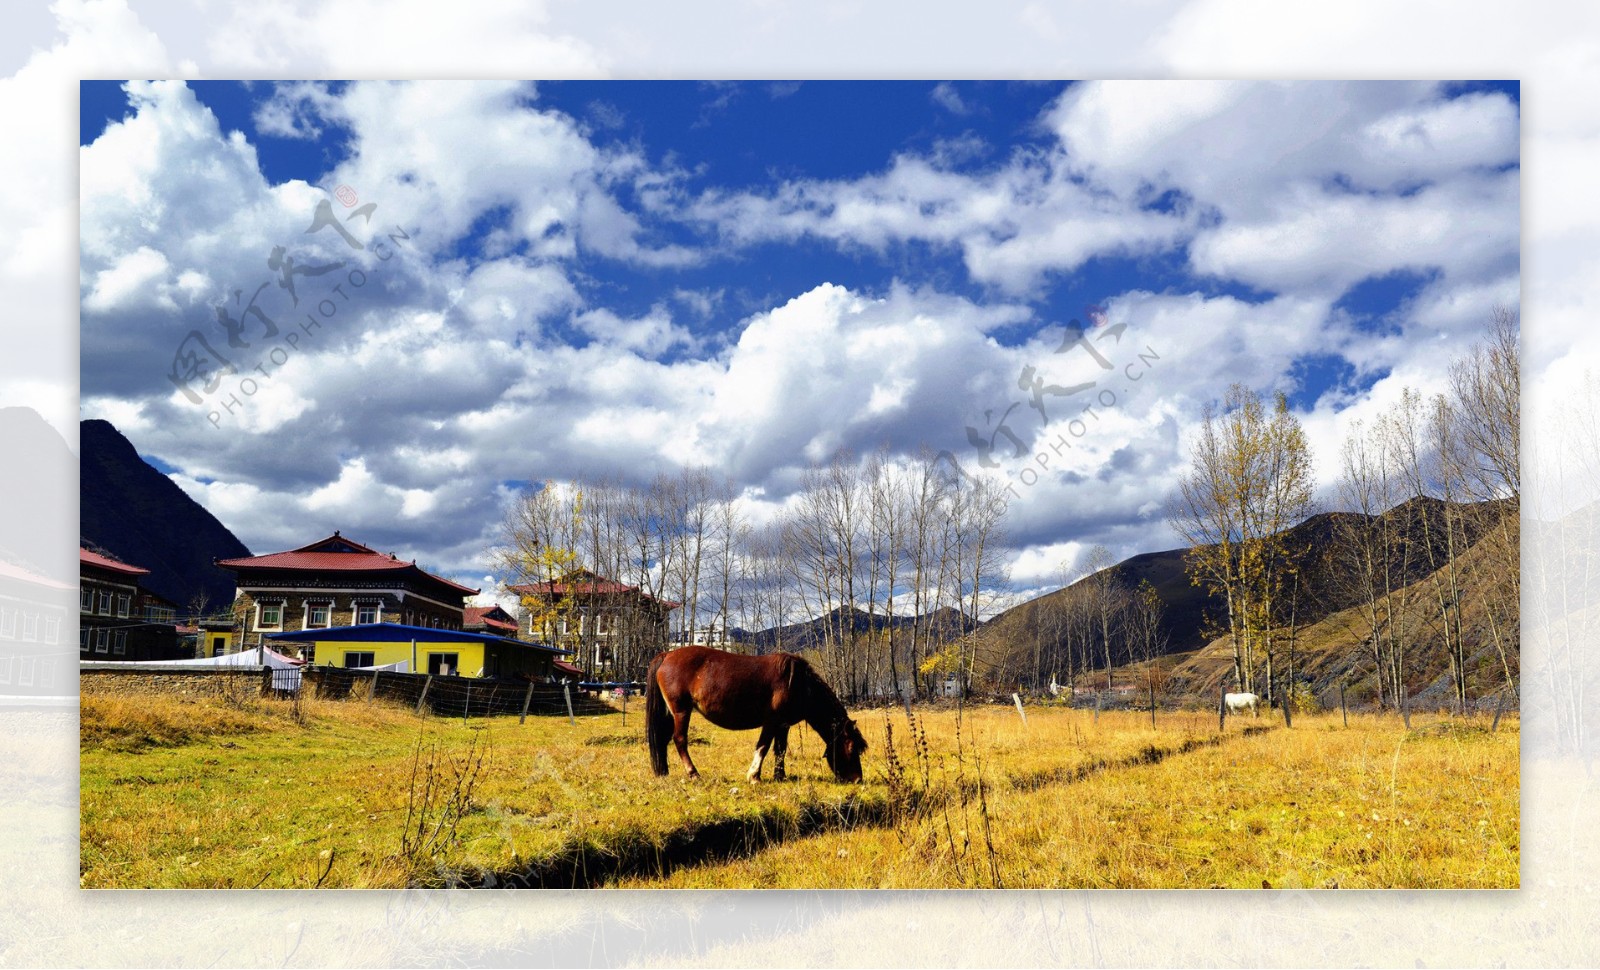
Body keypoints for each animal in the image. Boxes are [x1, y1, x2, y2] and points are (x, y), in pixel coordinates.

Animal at [646, 649, 870, 787]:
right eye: (851, 748)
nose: (858, 779)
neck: (798, 684)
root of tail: (667, 654)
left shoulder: (783, 725)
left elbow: (780, 750)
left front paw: (780, 776)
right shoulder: (771, 721)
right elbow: (763, 746)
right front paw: (754, 776)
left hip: (670, 713)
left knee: (662, 740)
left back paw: (664, 772)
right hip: (681, 711)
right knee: (679, 740)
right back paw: (693, 773)